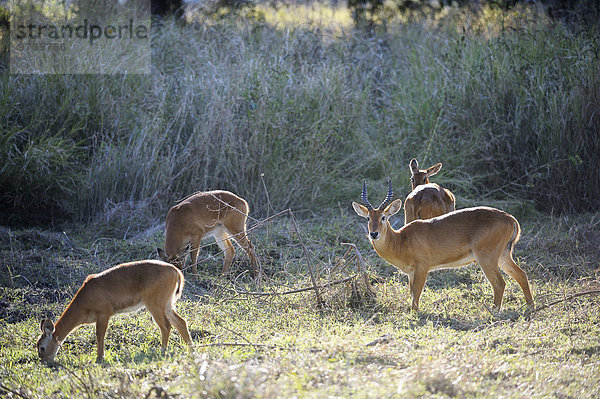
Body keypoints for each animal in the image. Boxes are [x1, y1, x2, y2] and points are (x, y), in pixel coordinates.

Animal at [36, 260, 191, 364]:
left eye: (42, 347)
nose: (45, 362)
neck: (84, 302)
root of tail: (176, 271)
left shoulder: (104, 313)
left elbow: (100, 335)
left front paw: (99, 358)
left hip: (155, 304)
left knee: (166, 326)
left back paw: (162, 350)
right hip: (167, 304)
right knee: (181, 322)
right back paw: (190, 347)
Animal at [352, 180, 536, 312]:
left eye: (384, 217)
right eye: (368, 218)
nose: (374, 234)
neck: (402, 240)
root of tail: (511, 219)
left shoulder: (422, 268)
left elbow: (416, 294)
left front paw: (414, 314)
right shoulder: (410, 273)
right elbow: (411, 292)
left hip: (486, 258)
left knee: (499, 283)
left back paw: (493, 311)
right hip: (503, 256)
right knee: (521, 274)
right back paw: (530, 307)